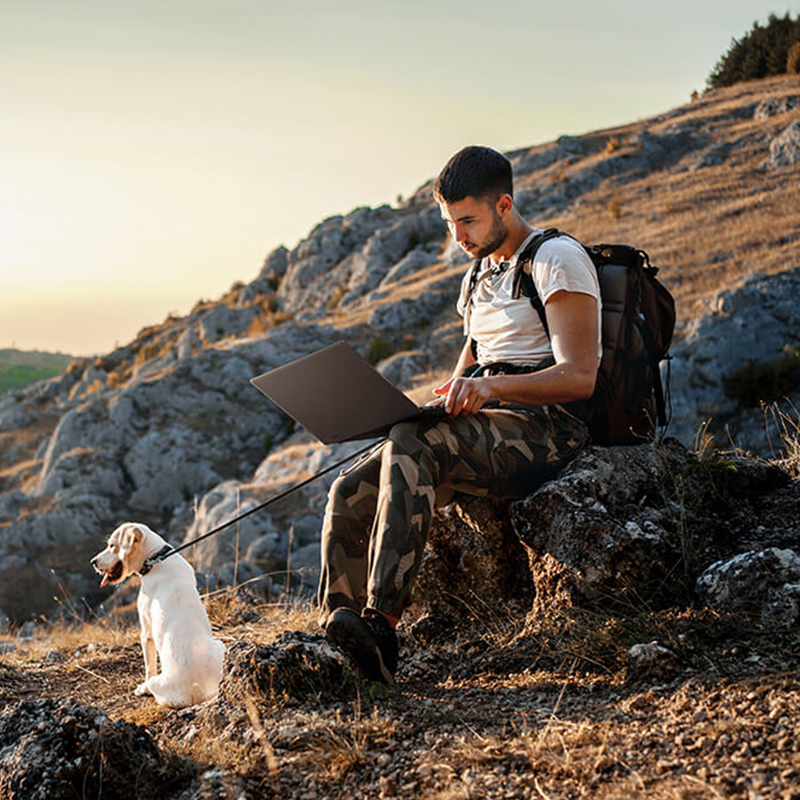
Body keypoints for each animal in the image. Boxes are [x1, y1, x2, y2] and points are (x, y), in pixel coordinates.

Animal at [92, 524, 227, 708]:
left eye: (112, 545)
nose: (93, 562)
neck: (156, 558)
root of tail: (199, 689)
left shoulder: (146, 634)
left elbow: (149, 666)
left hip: (157, 682)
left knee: (152, 681)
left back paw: (144, 689)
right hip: (221, 646)